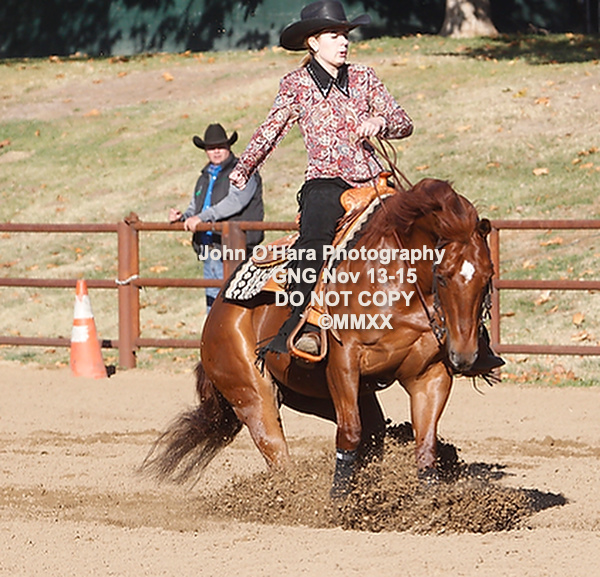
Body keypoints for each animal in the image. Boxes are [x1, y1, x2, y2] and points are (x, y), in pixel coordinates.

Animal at [143, 177, 494, 497]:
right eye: (443, 277)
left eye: (488, 276)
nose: (465, 356)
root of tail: (217, 313)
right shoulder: (343, 364)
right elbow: (349, 434)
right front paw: (338, 500)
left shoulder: (430, 374)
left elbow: (426, 441)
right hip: (252, 395)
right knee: (277, 452)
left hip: (314, 392)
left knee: (372, 432)